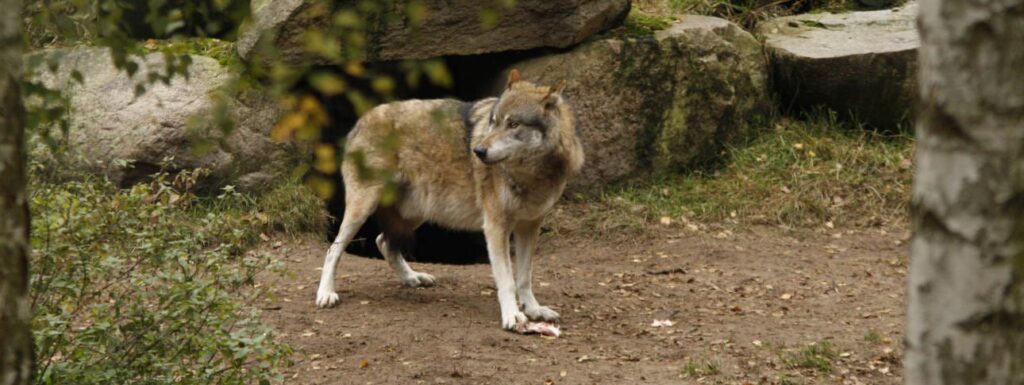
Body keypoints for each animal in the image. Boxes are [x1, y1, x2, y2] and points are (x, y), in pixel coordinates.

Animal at [311, 70, 585, 331]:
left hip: (415, 214)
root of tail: (361, 119)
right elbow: (507, 281)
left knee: (383, 242)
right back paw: (326, 294)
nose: (478, 151)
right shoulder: (496, 227)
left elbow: (525, 278)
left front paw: (534, 310)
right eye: (493, 122)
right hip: (363, 209)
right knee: (333, 249)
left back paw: (412, 278)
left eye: (514, 124)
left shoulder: (529, 227)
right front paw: (512, 317)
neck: (532, 174)